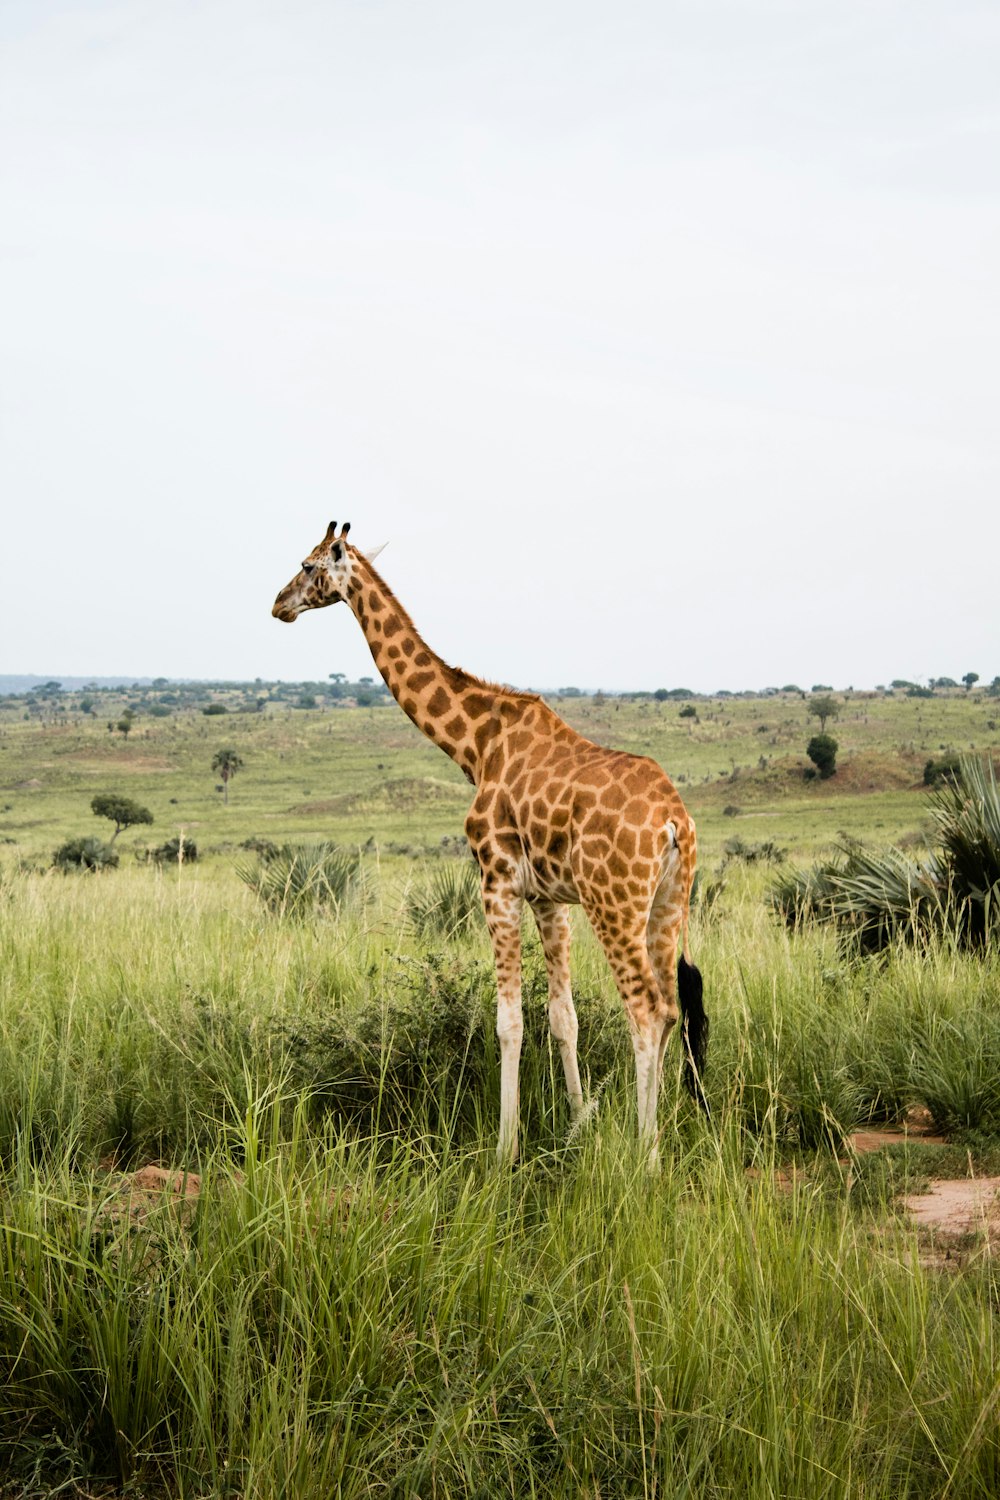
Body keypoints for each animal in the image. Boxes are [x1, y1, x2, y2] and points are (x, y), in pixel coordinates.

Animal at [271, 522, 710, 1164]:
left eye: (308, 566)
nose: (278, 605)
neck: (476, 745)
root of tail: (675, 821)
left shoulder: (496, 882)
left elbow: (509, 1021)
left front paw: (506, 1149)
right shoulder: (548, 898)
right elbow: (561, 1015)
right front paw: (576, 1126)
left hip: (615, 903)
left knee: (646, 1011)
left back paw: (646, 1154)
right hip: (668, 902)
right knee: (672, 1007)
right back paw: (657, 1138)